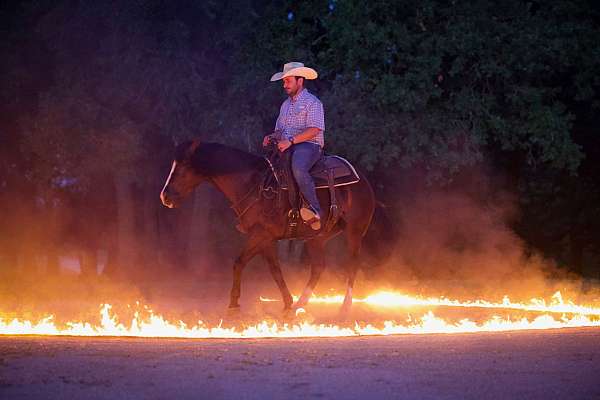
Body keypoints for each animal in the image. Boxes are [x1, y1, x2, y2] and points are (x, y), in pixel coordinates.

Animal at [159, 139, 376, 314]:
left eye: (183, 166)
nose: (165, 196)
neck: (254, 184)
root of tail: (363, 180)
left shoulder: (261, 235)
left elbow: (239, 262)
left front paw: (233, 303)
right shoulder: (266, 238)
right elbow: (275, 270)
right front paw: (287, 303)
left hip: (354, 232)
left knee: (352, 264)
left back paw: (345, 307)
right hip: (317, 237)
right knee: (318, 267)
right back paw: (300, 304)